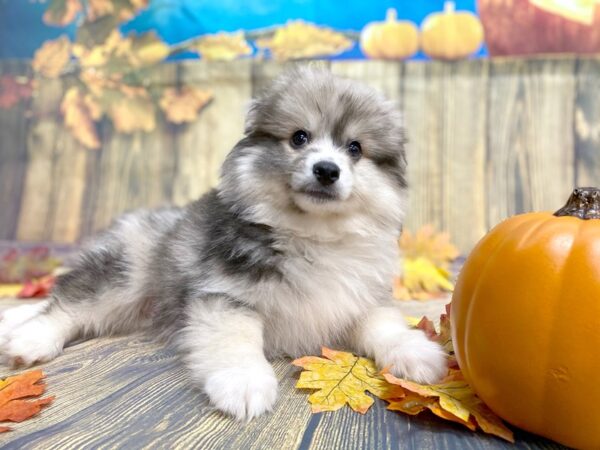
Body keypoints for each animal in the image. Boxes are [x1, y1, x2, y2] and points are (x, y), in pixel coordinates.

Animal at [0, 67, 446, 422]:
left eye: (355, 148)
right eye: (299, 138)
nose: (326, 169)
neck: (311, 236)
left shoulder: (358, 297)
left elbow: (384, 325)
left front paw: (416, 352)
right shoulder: (225, 296)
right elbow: (236, 341)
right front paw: (244, 382)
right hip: (125, 273)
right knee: (66, 302)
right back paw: (30, 338)